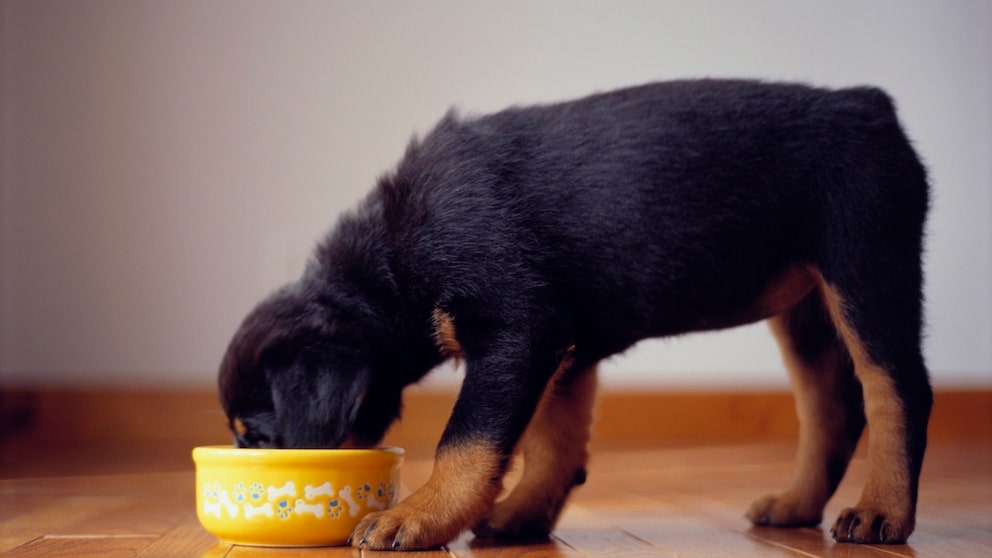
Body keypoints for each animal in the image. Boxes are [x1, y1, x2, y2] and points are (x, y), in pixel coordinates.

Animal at [217, 79, 928, 552]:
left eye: (257, 437)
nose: (248, 458)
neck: (391, 263)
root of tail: (869, 103)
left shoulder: (516, 330)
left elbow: (467, 441)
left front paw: (418, 515)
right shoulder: (565, 348)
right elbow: (554, 442)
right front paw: (523, 516)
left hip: (867, 266)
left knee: (897, 389)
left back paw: (880, 512)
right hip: (807, 305)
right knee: (831, 406)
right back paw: (798, 505)